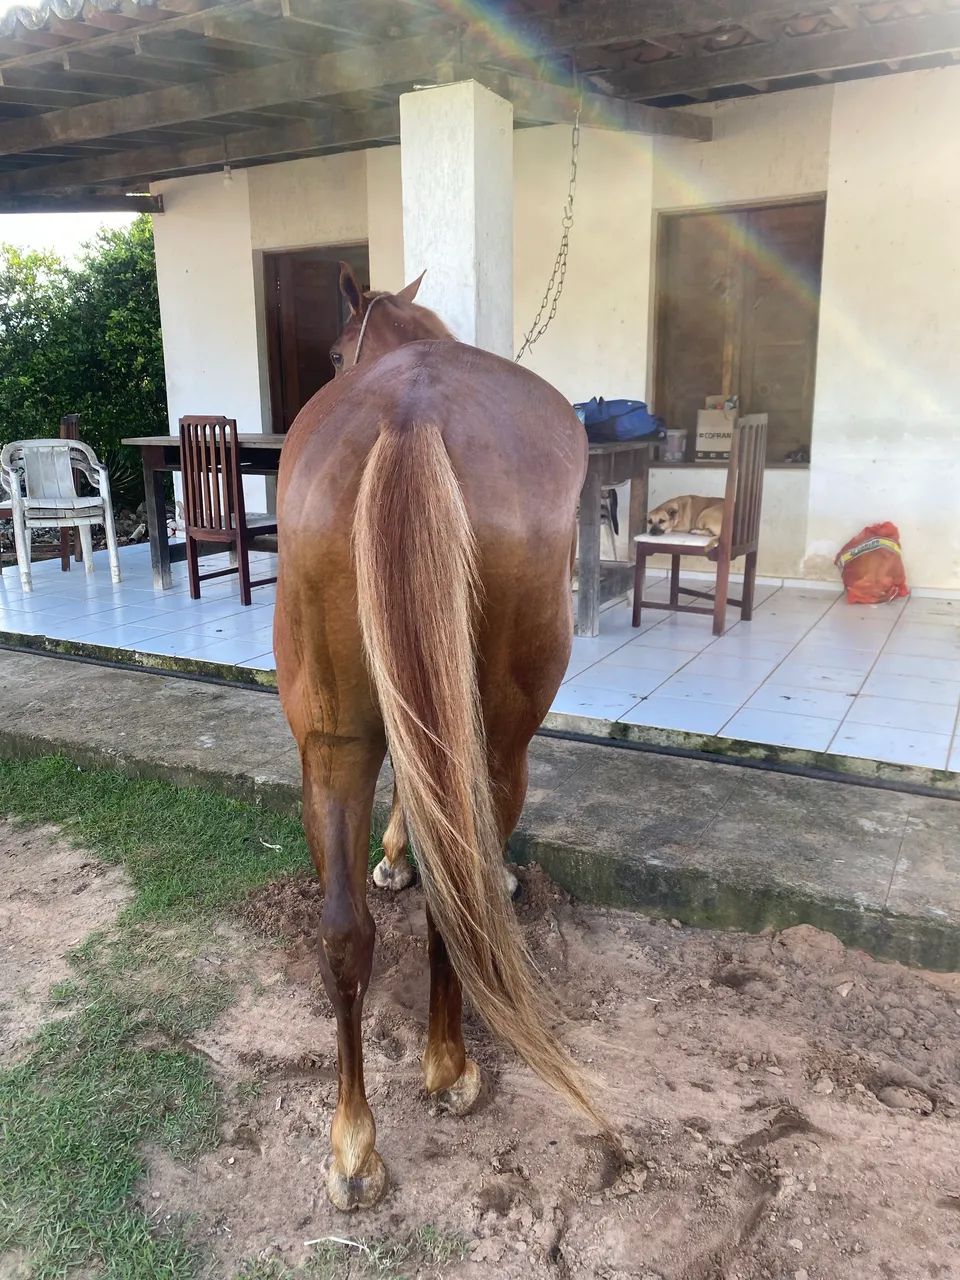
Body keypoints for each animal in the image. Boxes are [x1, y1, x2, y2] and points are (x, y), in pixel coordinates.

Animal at [273, 261, 600, 1211]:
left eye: (332, 352)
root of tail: (413, 410)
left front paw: (390, 853)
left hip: (332, 740)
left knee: (343, 932)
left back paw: (354, 1147)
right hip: (497, 742)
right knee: (458, 892)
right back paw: (450, 1069)